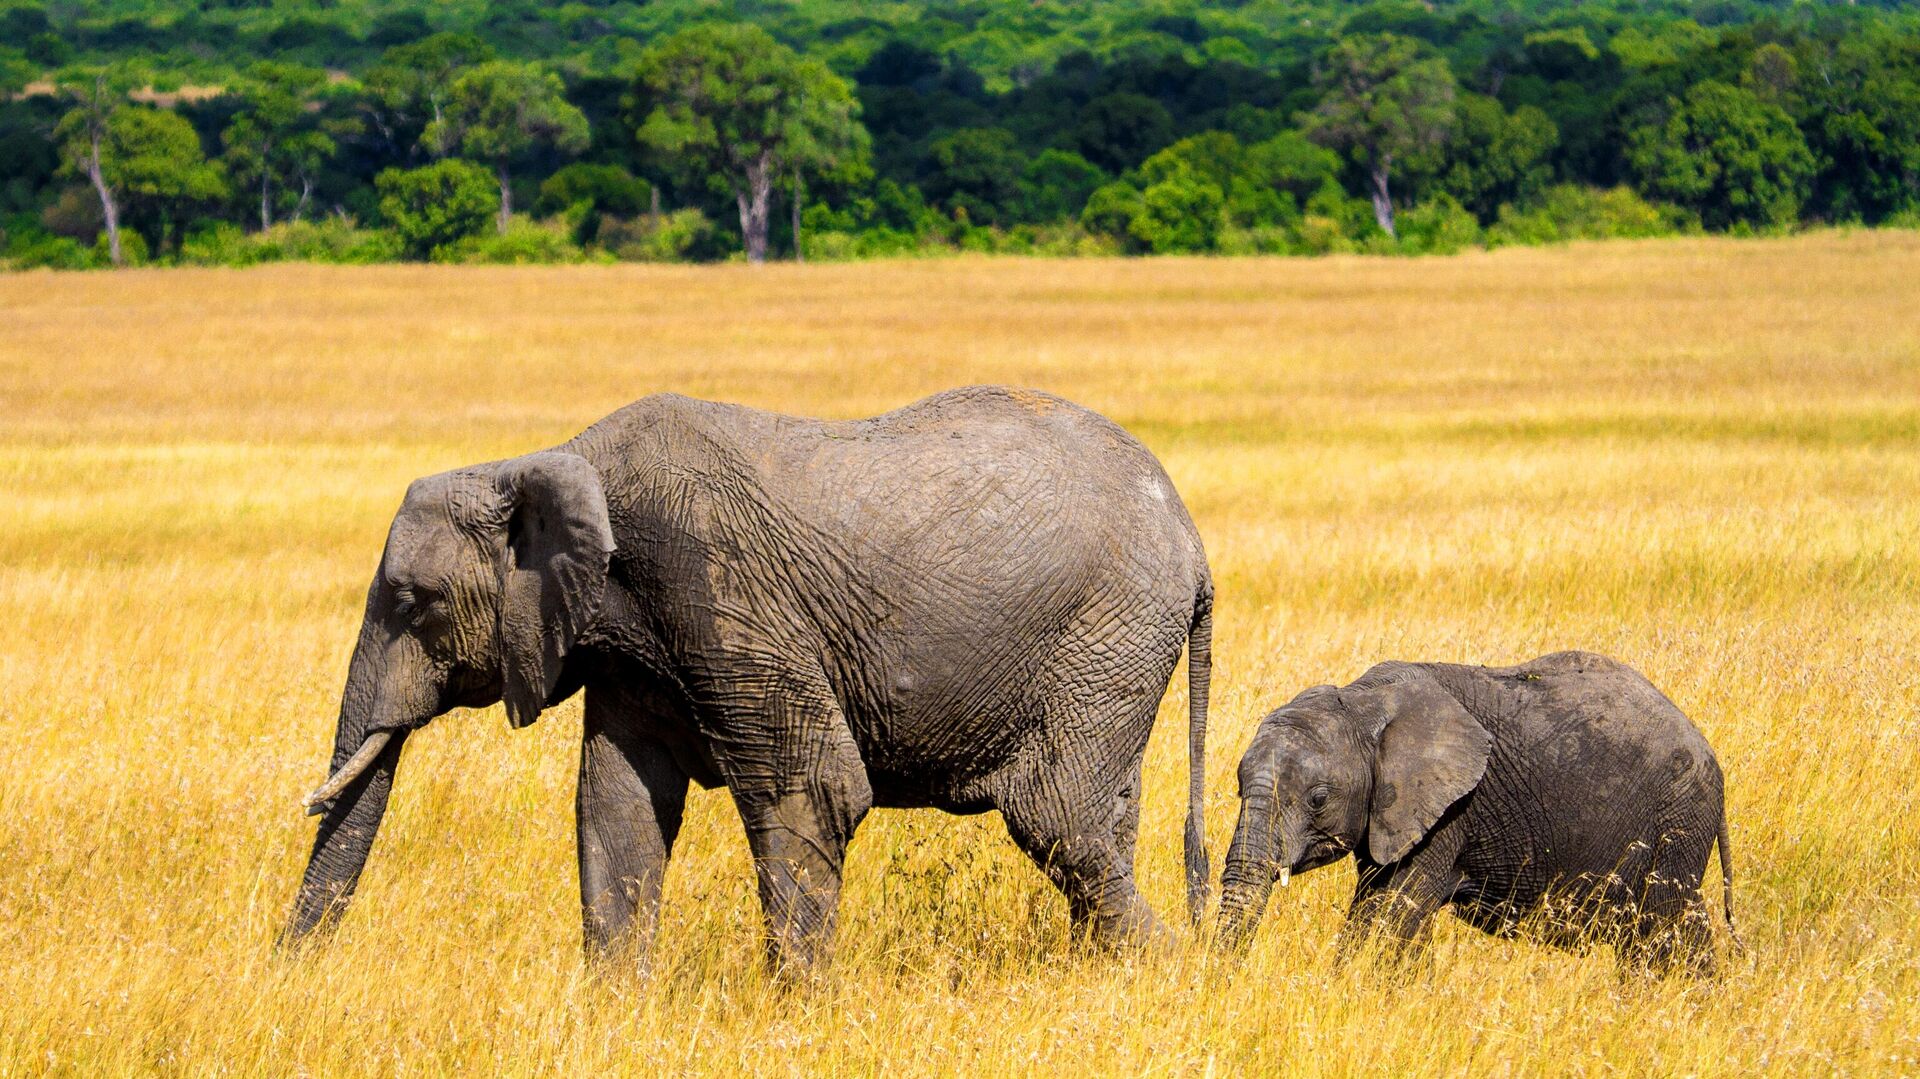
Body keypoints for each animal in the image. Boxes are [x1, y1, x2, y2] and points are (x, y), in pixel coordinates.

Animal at [284, 383, 1213, 967]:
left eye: (415, 602)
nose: (290, 972)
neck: (552, 460)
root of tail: (1194, 540)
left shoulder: (714, 581)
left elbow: (815, 789)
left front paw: (799, 1010)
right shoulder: (632, 649)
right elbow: (616, 805)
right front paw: (615, 1009)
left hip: (1106, 632)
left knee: (1055, 814)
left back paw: (1174, 972)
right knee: (1100, 820)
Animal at [1221, 652, 1735, 971]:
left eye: (1318, 799)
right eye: (1239, 787)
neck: (1362, 703)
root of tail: (1711, 756)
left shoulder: (1449, 812)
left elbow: (1391, 913)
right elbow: (1377, 905)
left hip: (1677, 821)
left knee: (1661, 930)